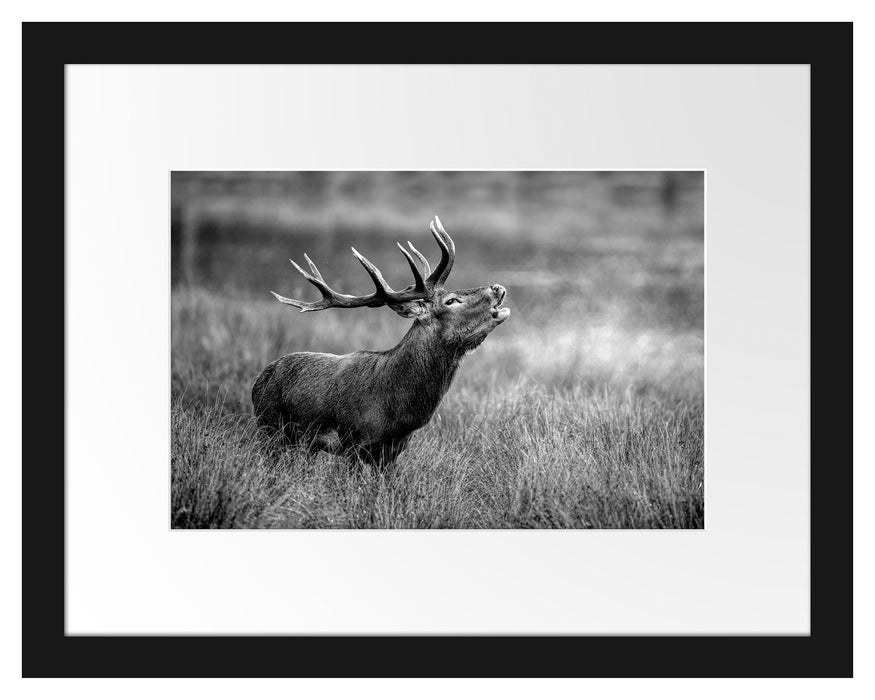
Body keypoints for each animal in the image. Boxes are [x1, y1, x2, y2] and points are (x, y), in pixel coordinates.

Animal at [251, 216, 510, 468]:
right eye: (451, 300)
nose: (497, 287)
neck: (395, 409)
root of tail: (258, 380)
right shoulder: (353, 442)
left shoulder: (392, 451)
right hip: (269, 426)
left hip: (303, 442)